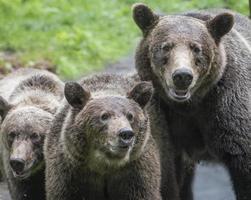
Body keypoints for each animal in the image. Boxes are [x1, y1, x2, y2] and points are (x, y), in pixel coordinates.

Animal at [44, 74, 178, 200]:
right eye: (104, 116)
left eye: (130, 116)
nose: (126, 134)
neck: (105, 166)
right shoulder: (70, 174)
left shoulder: (135, 172)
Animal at [132, 3, 251, 200]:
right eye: (166, 47)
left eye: (196, 48)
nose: (182, 76)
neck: (190, 106)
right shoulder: (165, 124)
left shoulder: (227, 109)